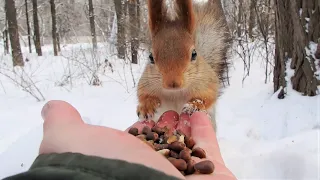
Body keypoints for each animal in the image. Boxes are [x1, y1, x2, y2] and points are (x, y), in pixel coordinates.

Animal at [136, 0, 231, 132]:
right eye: (150, 57)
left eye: (194, 54)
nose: (173, 83)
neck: (176, 93)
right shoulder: (146, 82)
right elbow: (143, 94)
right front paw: (146, 106)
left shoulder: (208, 81)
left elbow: (208, 96)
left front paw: (194, 105)